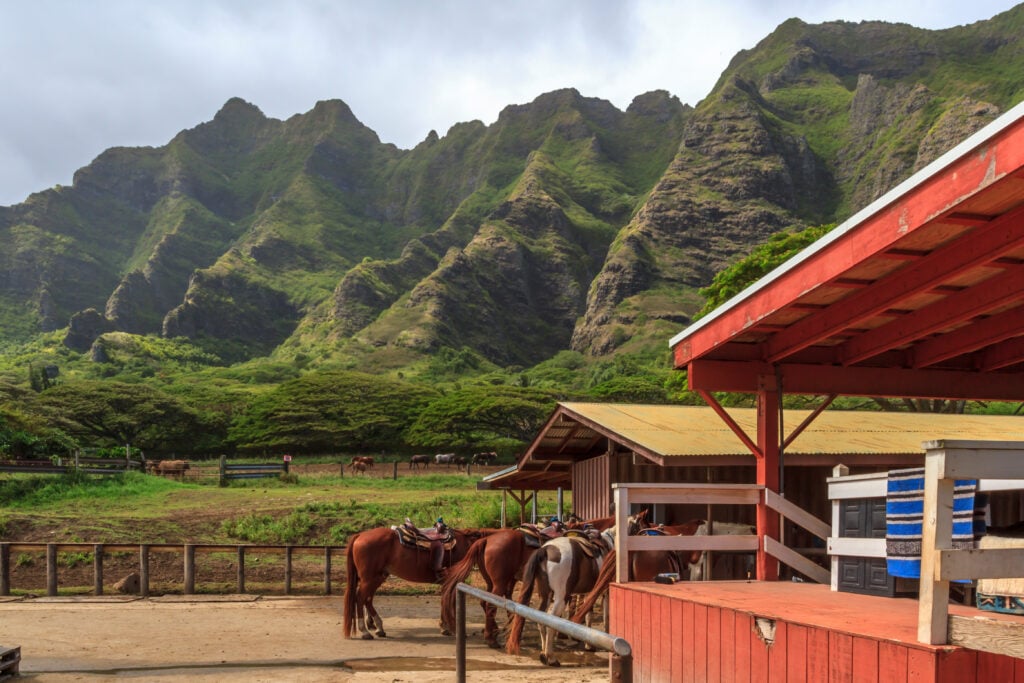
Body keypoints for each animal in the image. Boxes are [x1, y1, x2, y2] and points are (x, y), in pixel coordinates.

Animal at [344, 524, 495, 643]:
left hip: (377, 577)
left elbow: (444, 602)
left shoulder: (447, 583)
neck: (466, 543)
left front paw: (444, 627)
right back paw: (365, 631)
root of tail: (360, 535)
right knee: (360, 599)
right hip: (369, 579)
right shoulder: (454, 582)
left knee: (367, 599)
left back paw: (379, 627)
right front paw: (454, 629)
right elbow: (450, 604)